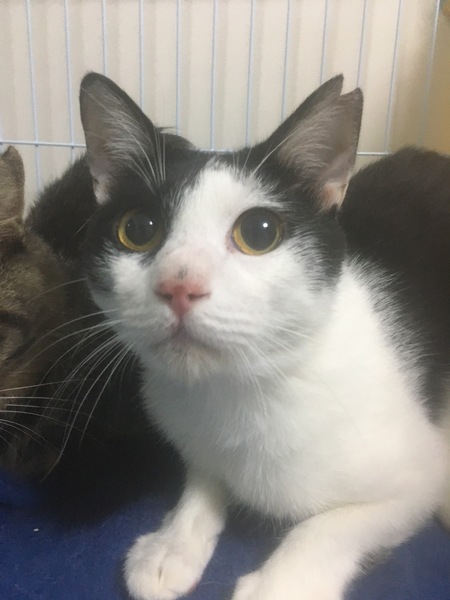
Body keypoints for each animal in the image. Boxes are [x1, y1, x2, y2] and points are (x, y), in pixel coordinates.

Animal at [74, 72, 450, 600]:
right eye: (138, 228)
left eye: (259, 231)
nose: (179, 285)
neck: (237, 390)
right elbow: (204, 477)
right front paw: (174, 544)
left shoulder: (420, 476)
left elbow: (329, 526)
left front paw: (281, 584)